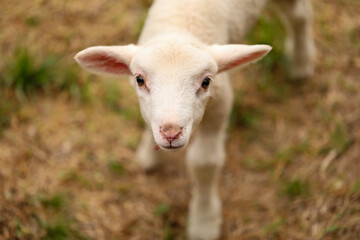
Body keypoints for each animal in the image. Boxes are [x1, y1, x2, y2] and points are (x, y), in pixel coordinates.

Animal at [74, 0, 314, 239]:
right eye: (139, 79)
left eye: (206, 82)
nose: (171, 133)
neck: (180, 28)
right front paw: (147, 154)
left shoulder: (220, 106)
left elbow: (205, 163)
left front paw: (204, 221)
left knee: (299, 16)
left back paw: (301, 64)